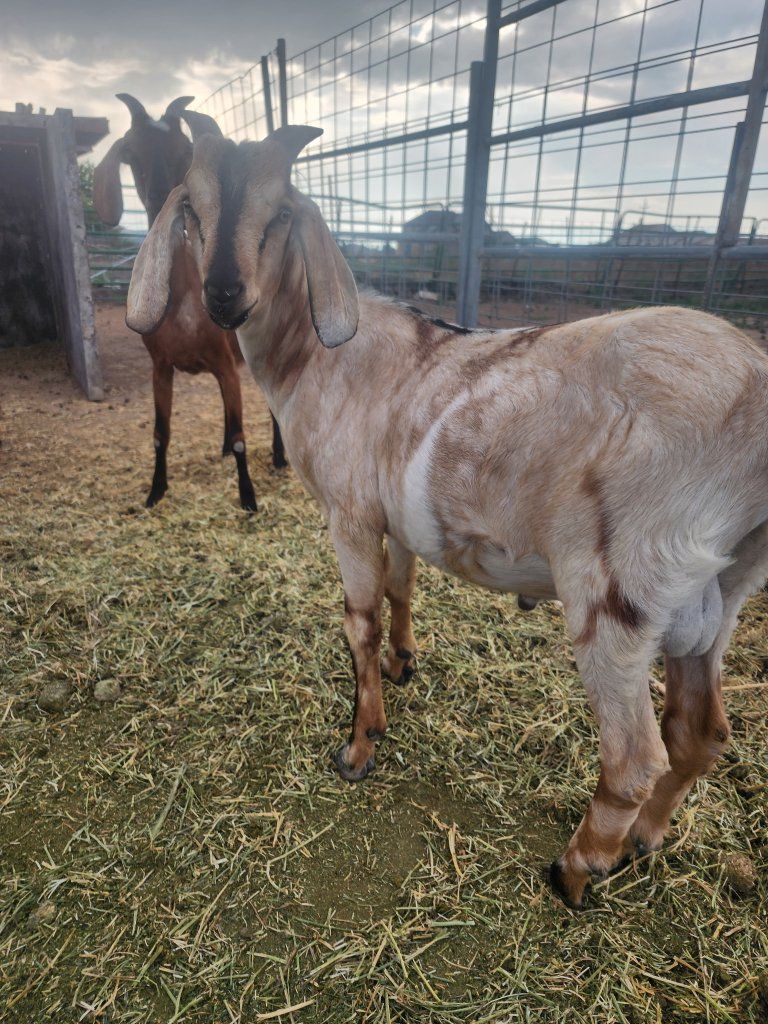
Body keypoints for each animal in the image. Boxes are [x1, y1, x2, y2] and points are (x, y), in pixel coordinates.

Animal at [93, 93, 286, 510]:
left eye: (186, 152)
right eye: (131, 154)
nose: (163, 202)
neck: (184, 303)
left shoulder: (226, 365)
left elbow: (243, 437)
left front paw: (248, 498)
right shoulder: (161, 367)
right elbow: (160, 434)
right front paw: (155, 491)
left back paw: (279, 458)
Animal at [127, 125, 768, 909]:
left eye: (279, 213)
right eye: (191, 211)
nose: (223, 293)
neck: (315, 357)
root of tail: (757, 389)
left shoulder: (348, 513)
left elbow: (359, 621)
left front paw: (359, 745)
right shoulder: (396, 517)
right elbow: (402, 588)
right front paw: (404, 665)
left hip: (621, 587)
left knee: (634, 755)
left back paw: (578, 868)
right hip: (719, 590)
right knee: (701, 732)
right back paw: (646, 838)